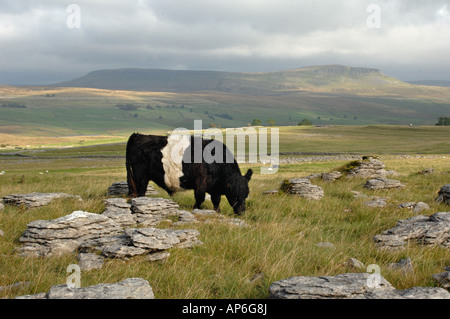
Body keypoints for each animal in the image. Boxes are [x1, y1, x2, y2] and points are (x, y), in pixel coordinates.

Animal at [125, 132, 253, 215]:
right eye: (235, 194)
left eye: (246, 195)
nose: (242, 211)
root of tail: (138, 135)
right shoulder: (200, 183)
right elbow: (200, 198)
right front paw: (195, 208)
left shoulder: (214, 188)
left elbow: (216, 201)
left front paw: (217, 212)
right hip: (141, 176)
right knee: (141, 192)